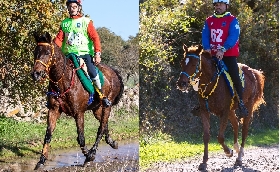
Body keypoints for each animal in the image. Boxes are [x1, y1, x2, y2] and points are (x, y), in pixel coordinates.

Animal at [31, 32, 124, 169]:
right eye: (35, 52)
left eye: (47, 52)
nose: (36, 74)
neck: (63, 81)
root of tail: (114, 71)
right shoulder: (53, 110)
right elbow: (48, 135)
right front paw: (41, 161)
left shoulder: (78, 113)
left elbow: (81, 138)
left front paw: (89, 156)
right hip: (97, 108)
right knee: (104, 124)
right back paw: (112, 143)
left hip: (107, 105)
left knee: (101, 128)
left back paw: (93, 151)